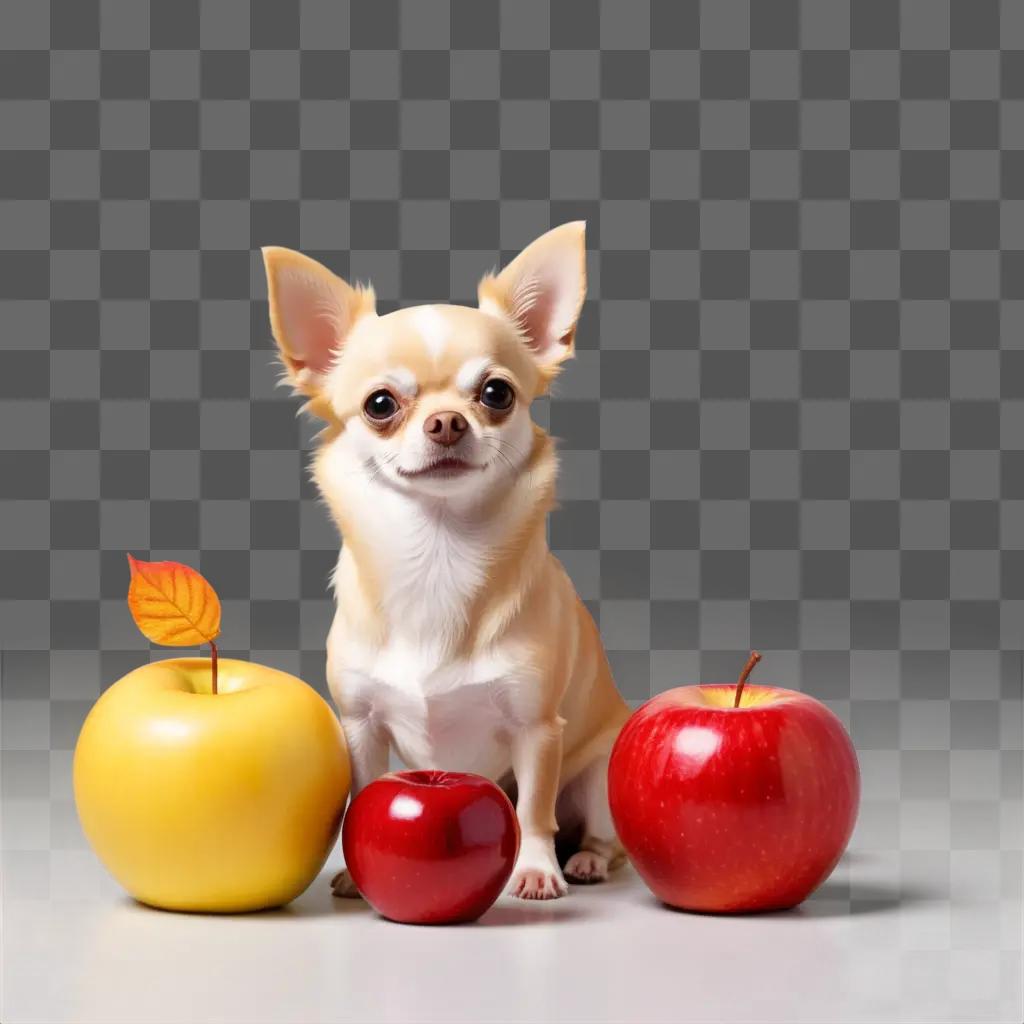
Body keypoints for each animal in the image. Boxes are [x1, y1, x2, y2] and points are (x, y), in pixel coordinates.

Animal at [262, 222, 630, 897]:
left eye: (496, 393)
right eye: (380, 404)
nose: (447, 422)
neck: (438, 554)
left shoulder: (538, 729)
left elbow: (532, 809)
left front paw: (535, 870)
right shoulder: (361, 725)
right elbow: (363, 794)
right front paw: (356, 873)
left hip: (596, 776)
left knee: (593, 832)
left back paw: (583, 860)